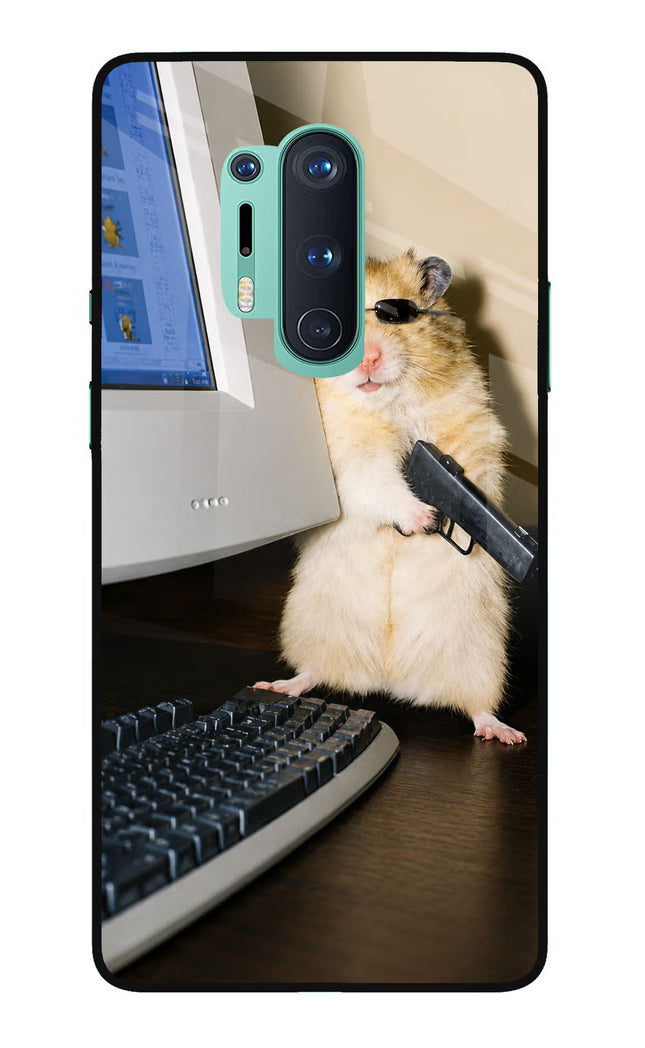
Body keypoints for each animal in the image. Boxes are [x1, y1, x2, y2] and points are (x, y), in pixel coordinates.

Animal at [256, 250, 526, 744]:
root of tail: (388, 679)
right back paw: (278, 685)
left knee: (477, 706)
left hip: (479, 653)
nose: (368, 360)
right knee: (314, 672)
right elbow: (379, 483)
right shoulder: (348, 459)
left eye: (395, 316)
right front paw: (423, 518)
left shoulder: (471, 427)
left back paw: (505, 733)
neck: (387, 404)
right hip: (311, 626)